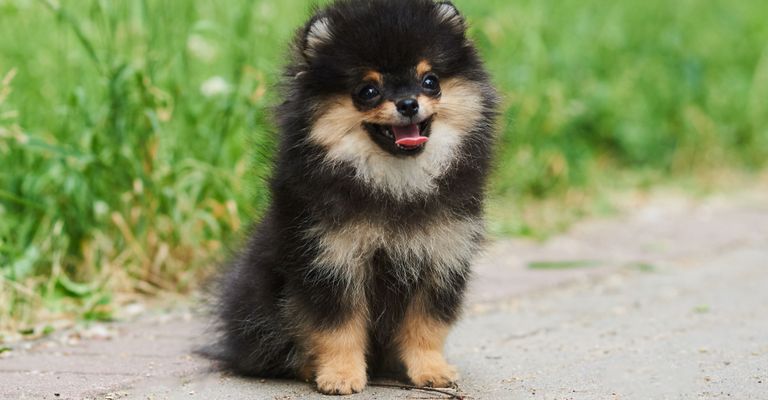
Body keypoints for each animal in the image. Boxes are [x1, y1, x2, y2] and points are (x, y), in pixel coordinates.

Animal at [206, 0, 498, 394]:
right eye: (368, 91)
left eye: (430, 81)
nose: (408, 103)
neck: (397, 183)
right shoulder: (330, 258)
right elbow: (337, 327)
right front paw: (341, 375)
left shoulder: (442, 254)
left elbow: (427, 324)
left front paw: (431, 370)